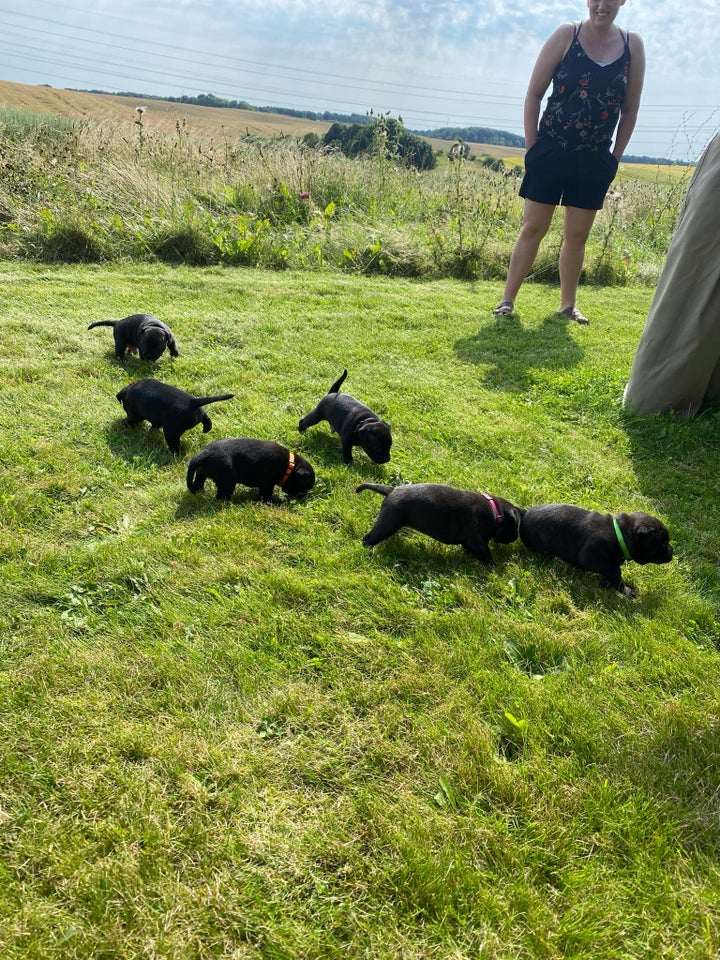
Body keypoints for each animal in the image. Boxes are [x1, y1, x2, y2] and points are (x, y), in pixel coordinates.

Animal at [188, 440, 316, 502]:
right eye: (304, 487)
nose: (303, 498)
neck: (289, 466)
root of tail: (204, 453)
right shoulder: (267, 484)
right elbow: (266, 496)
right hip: (228, 481)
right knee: (221, 497)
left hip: (201, 473)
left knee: (199, 483)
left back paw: (201, 492)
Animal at [356, 480, 520, 564]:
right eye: (515, 528)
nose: (516, 537)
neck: (495, 511)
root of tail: (391, 490)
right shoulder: (477, 542)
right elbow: (486, 555)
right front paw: (492, 568)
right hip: (388, 524)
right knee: (368, 539)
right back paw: (368, 553)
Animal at [520, 498, 672, 596]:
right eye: (663, 544)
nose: (672, 550)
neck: (620, 535)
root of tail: (524, 513)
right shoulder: (589, 557)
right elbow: (615, 571)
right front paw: (626, 591)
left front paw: (607, 583)